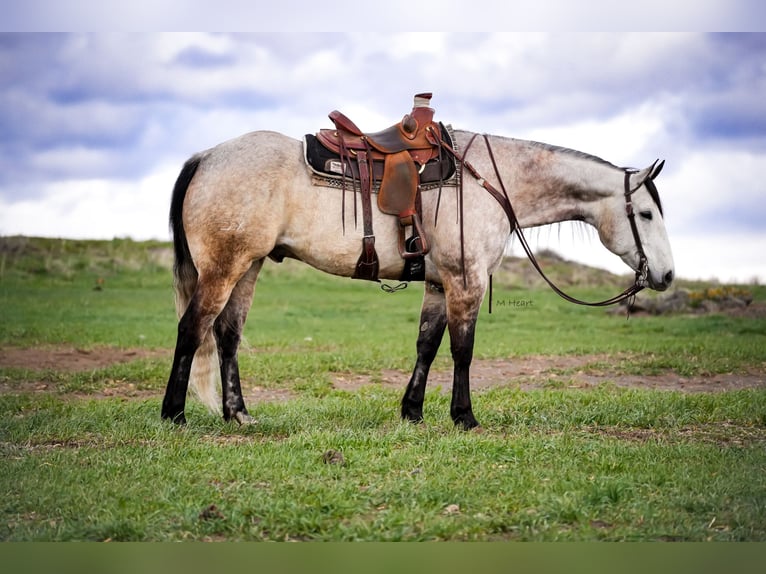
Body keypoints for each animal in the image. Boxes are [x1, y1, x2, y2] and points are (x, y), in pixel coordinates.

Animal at [161, 128, 674, 430]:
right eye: (647, 214)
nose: (667, 275)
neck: (490, 182)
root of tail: (206, 156)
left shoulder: (438, 284)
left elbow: (427, 344)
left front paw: (412, 411)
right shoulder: (466, 281)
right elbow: (463, 350)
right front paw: (464, 417)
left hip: (248, 267)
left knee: (227, 335)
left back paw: (238, 413)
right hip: (224, 268)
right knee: (192, 329)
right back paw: (175, 414)